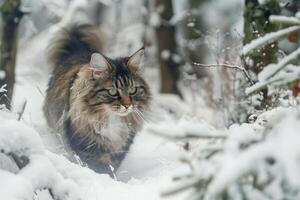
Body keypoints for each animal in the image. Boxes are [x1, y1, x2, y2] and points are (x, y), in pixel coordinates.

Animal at [43, 24, 151, 177]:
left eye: (132, 90)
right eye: (113, 92)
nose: (127, 105)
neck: (111, 119)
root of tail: (78, 50)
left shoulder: (121, 147)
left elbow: (113, 166)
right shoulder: (86, 144)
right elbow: (99, 167)